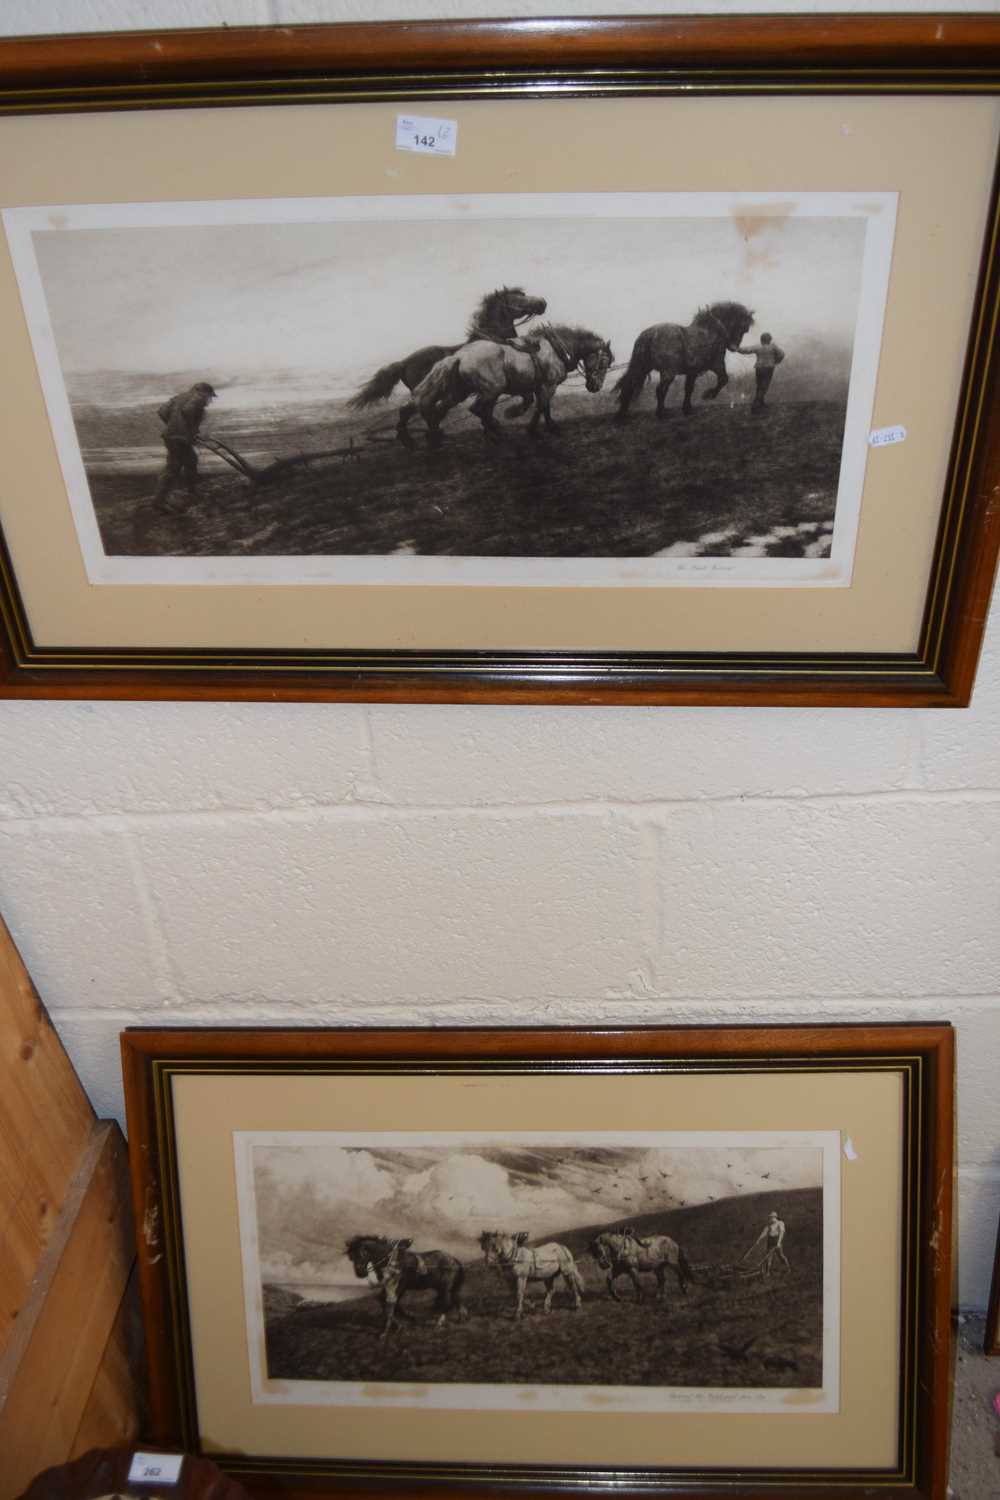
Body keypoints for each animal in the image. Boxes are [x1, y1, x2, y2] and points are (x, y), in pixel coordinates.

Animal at [395, 325, 614, 447]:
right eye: (604, 362)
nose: (595, 386)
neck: (556, 348)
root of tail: (460, 356)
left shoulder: (538, 386)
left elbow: (539, 406)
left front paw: (531, 426)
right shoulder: (548, 385)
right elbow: (543, 406)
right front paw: (544, 428)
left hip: (460, 391)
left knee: (442, 408)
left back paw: (430, 439)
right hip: (492, 389)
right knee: (477, 409)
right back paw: (494, 434)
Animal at [614, 300, 755, 423]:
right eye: (744, 328)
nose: (733, 347)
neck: (713, 330)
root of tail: (650, 334)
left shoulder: (692, 372)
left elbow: (689, 389)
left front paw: (687, 409)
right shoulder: (717, 364)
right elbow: (723, 379)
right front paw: (708, 395)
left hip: (643, 368)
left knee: (629, 386)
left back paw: (621, 415)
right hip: (668, 372)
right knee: (660, 390)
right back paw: (660, 413)